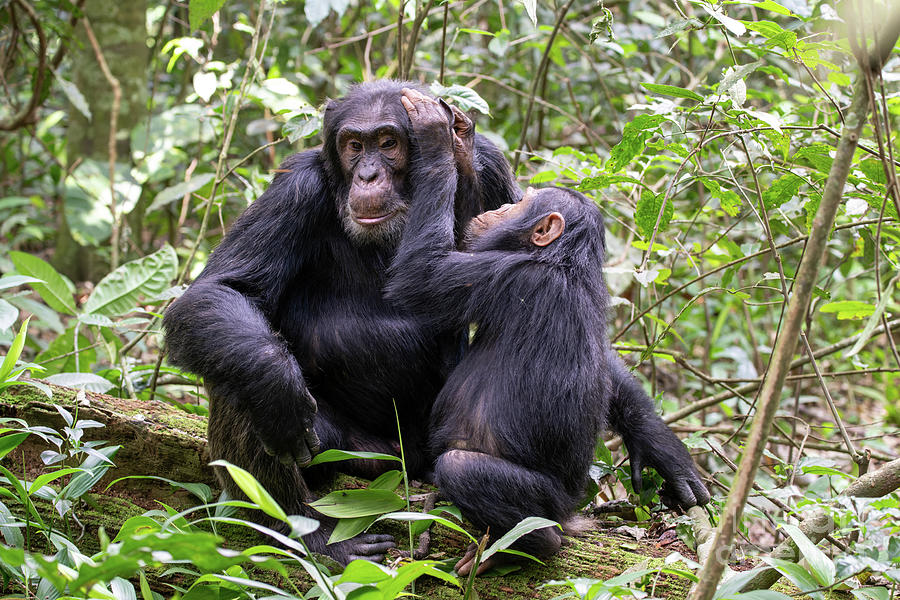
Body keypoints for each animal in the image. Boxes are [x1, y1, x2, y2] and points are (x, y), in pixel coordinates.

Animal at [162, 82, 520, 564]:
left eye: (387, 143)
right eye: (354, 145)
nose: (367, 175)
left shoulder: (496, 168)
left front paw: (457, 149)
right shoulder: (295, 189)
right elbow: (225, 289)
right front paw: (276, 387)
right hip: (362, 457)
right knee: (237, 372)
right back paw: (304, 531)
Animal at [386, 89, 712, 576]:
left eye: (525, 204)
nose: (503, 206)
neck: (562, 260)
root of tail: (571, 509)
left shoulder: (500, 276)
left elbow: (420, 275)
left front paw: (435, 135)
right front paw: (662, 451)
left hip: (542, 500)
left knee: (463, 468)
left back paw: (523, 546)